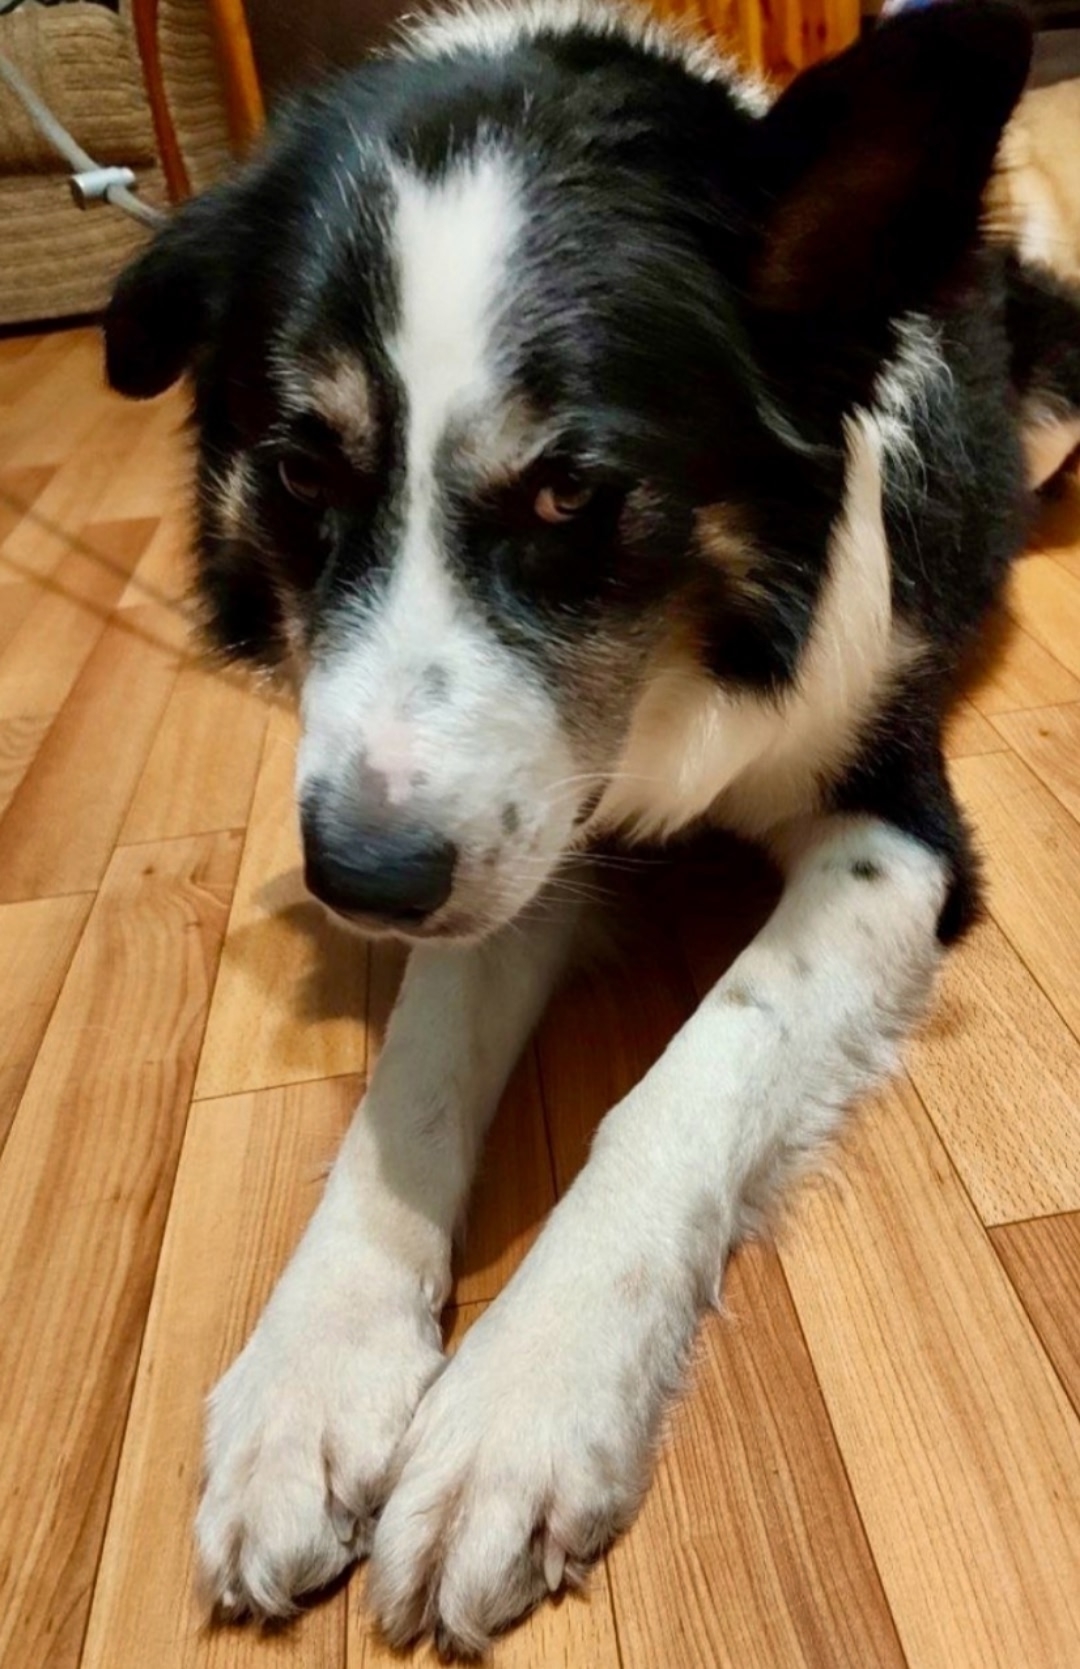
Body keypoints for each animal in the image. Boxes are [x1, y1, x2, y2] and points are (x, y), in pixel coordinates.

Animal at [104, 0, 1080, 1654]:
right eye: (298, 470)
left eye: (572, 495)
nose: (357, 882)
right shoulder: (493, 823)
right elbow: (418, 1065)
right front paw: (315, 1371)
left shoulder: (899, 828)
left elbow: (697, 1068)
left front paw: (522, 1400)